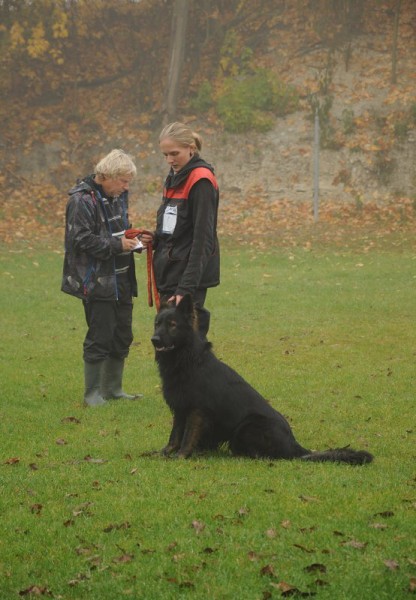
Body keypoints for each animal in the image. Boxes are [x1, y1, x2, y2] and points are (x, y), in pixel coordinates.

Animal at [152, 294, 374, 464]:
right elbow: (175, 435)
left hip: (247, 427)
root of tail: (296, 447)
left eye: (172, 325)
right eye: (157, 324)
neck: (187, 359)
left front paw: (180, 457)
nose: (154, 340)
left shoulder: (197, 411)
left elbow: (188, 437)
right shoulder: (180, 408)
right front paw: (162, 453)